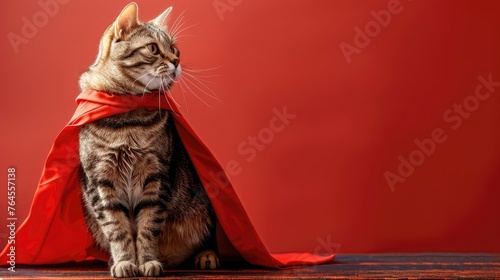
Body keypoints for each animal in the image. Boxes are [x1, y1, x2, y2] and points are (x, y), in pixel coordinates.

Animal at [77, 2, 217, 278]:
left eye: (175, 49)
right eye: (153, 48)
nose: (176, 61)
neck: (129, 117)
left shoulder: (156, 177)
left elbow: (148, 227)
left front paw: (148, 261)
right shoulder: (100, 181)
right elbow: (117, 230)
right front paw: (123, 262)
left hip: (204, 197)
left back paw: (206, 255)